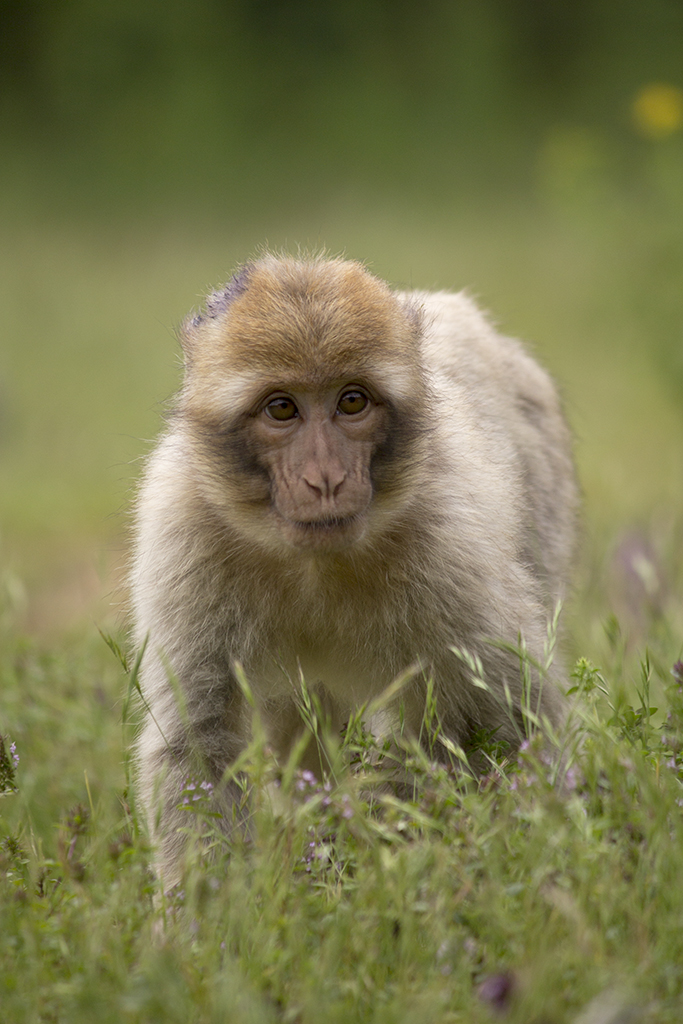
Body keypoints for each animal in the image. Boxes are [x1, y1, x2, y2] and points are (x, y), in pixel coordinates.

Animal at [131, 253, 578, 884]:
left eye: (351, 402)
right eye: (282, 408)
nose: (325, 478)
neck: (315, 564)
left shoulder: (453, 548)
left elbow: (513, 721)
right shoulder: (182, 535)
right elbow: (199, 741)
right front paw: (210, 911)